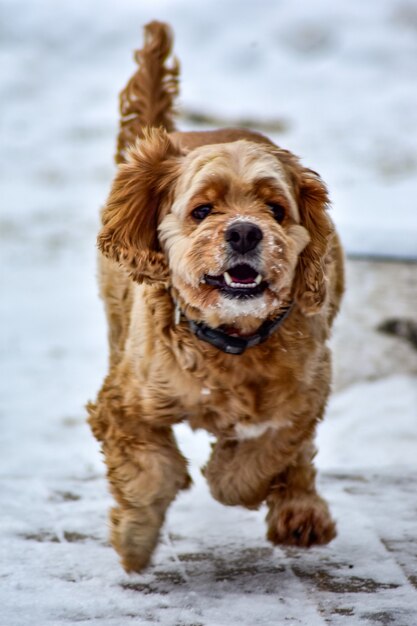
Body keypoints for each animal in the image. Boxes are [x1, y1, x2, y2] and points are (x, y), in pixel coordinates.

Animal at [86, 23, 342, 572]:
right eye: (202, 210)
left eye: (275, 209)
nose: (245, 231)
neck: (231, 341)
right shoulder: (125, 402)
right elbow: (151, 470)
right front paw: (135, 538)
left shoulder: (307, 390)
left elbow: (270, 448)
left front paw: (230, 476)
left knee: (299, 455)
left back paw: (300, 512)